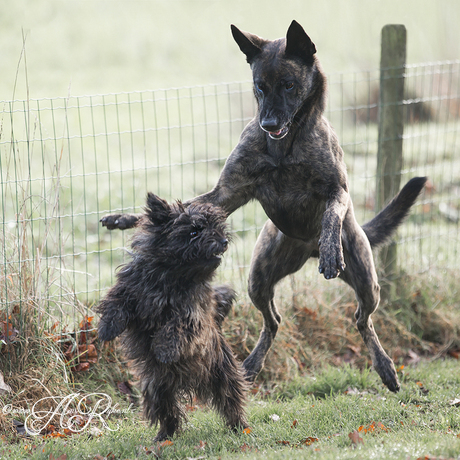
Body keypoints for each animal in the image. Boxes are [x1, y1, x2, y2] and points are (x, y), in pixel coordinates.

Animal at [97, 192, 248, 440]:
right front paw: (107, 328)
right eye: (194, 231)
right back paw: (164, 436)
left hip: (222, 374)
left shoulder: (193, 312)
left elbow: (177, 325)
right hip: (157, 389)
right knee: (168, 413)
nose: (223, 241)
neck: (170, 275)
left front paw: (164, 349)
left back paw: (239, 427)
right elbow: (115, 303)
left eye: (217, 227)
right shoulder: (130, 288)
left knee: (231, 401)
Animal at [101, 20, 428, 392]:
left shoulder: (338, 191)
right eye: (260, 86)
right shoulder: (227, 194)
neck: (284, 149)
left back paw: (385, 366)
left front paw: (331, 251)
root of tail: (307, 249)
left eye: (288, 84)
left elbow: (331, 213)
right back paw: (253, 364)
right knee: (274, 320)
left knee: (363, 318)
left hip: (366, 279)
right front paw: (128, 219)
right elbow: (184, 207)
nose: (268, 124)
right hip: (258, 279)